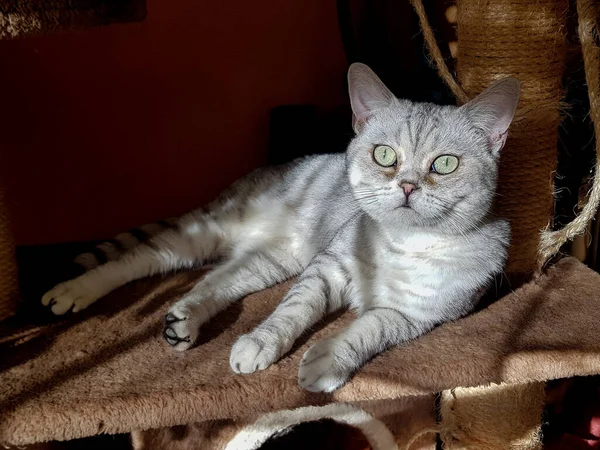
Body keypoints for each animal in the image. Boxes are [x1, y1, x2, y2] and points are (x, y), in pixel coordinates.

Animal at [43, 64, 520, 394]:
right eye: (384, 155)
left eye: (445, 163)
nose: (406, 185)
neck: (403, 244)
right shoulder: (326, 268)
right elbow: (291, 311)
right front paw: (261, 343)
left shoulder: (415, 315)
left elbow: (365, 332)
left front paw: (326, 361)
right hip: (203, 233)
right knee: (139, 259)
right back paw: (73, 291)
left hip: (268, 261)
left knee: (214, 284)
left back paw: (184, 321)